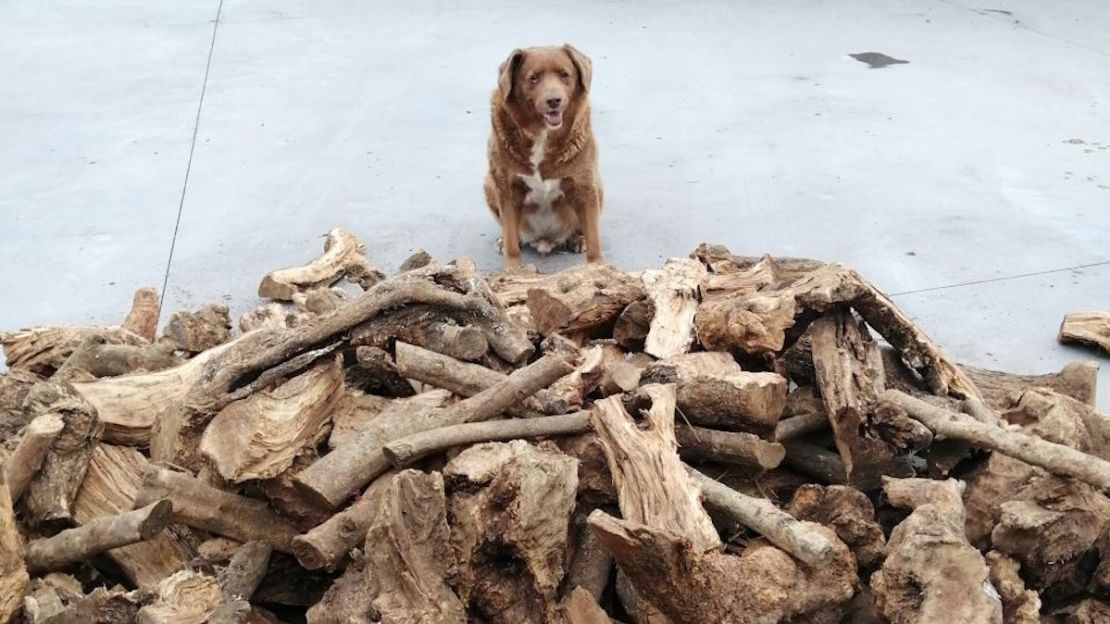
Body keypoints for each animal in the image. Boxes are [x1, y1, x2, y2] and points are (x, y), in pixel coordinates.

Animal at [486, 43, 608, 267]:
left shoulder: (584, 185)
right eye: (534, 78)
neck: (542, 135)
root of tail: (545, 240)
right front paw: (512, 268)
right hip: (489, 184)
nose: (554, 100)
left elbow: (594, 238)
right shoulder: (508, 188)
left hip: (598, 187)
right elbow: (511, 241)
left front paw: (597, 267)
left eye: (564, 75)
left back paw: (578, 239)